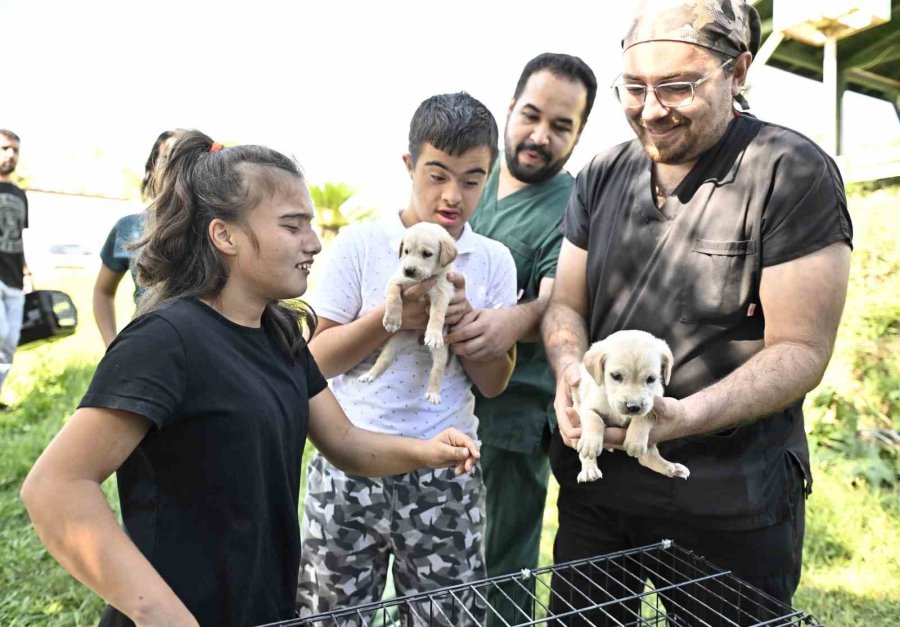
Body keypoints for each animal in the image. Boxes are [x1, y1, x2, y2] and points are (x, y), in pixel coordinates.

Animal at [358, 223, 458, 404]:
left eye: (427, 254)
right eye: (406, 251)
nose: (408, 270)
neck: (421, 280)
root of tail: (417, 339)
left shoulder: (442, 295)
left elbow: (437, 316)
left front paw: (433, 335)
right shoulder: (396, 281)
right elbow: (393, 299)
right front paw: (392, 320)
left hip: (441, 353)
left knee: (437, 370)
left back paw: (433, 392)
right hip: (394, 343)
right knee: (383, 359)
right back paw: (370, 374)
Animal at [572, 332, 692, 484]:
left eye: (651, 379)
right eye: (616, 376)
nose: (633, 407)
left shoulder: (653, 403)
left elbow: (644, 416)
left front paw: (635, 442)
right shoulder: (587, 406)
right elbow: (594, 419)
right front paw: (590, 443)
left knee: (647, 457)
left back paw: (672, 468)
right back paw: (589, 469)